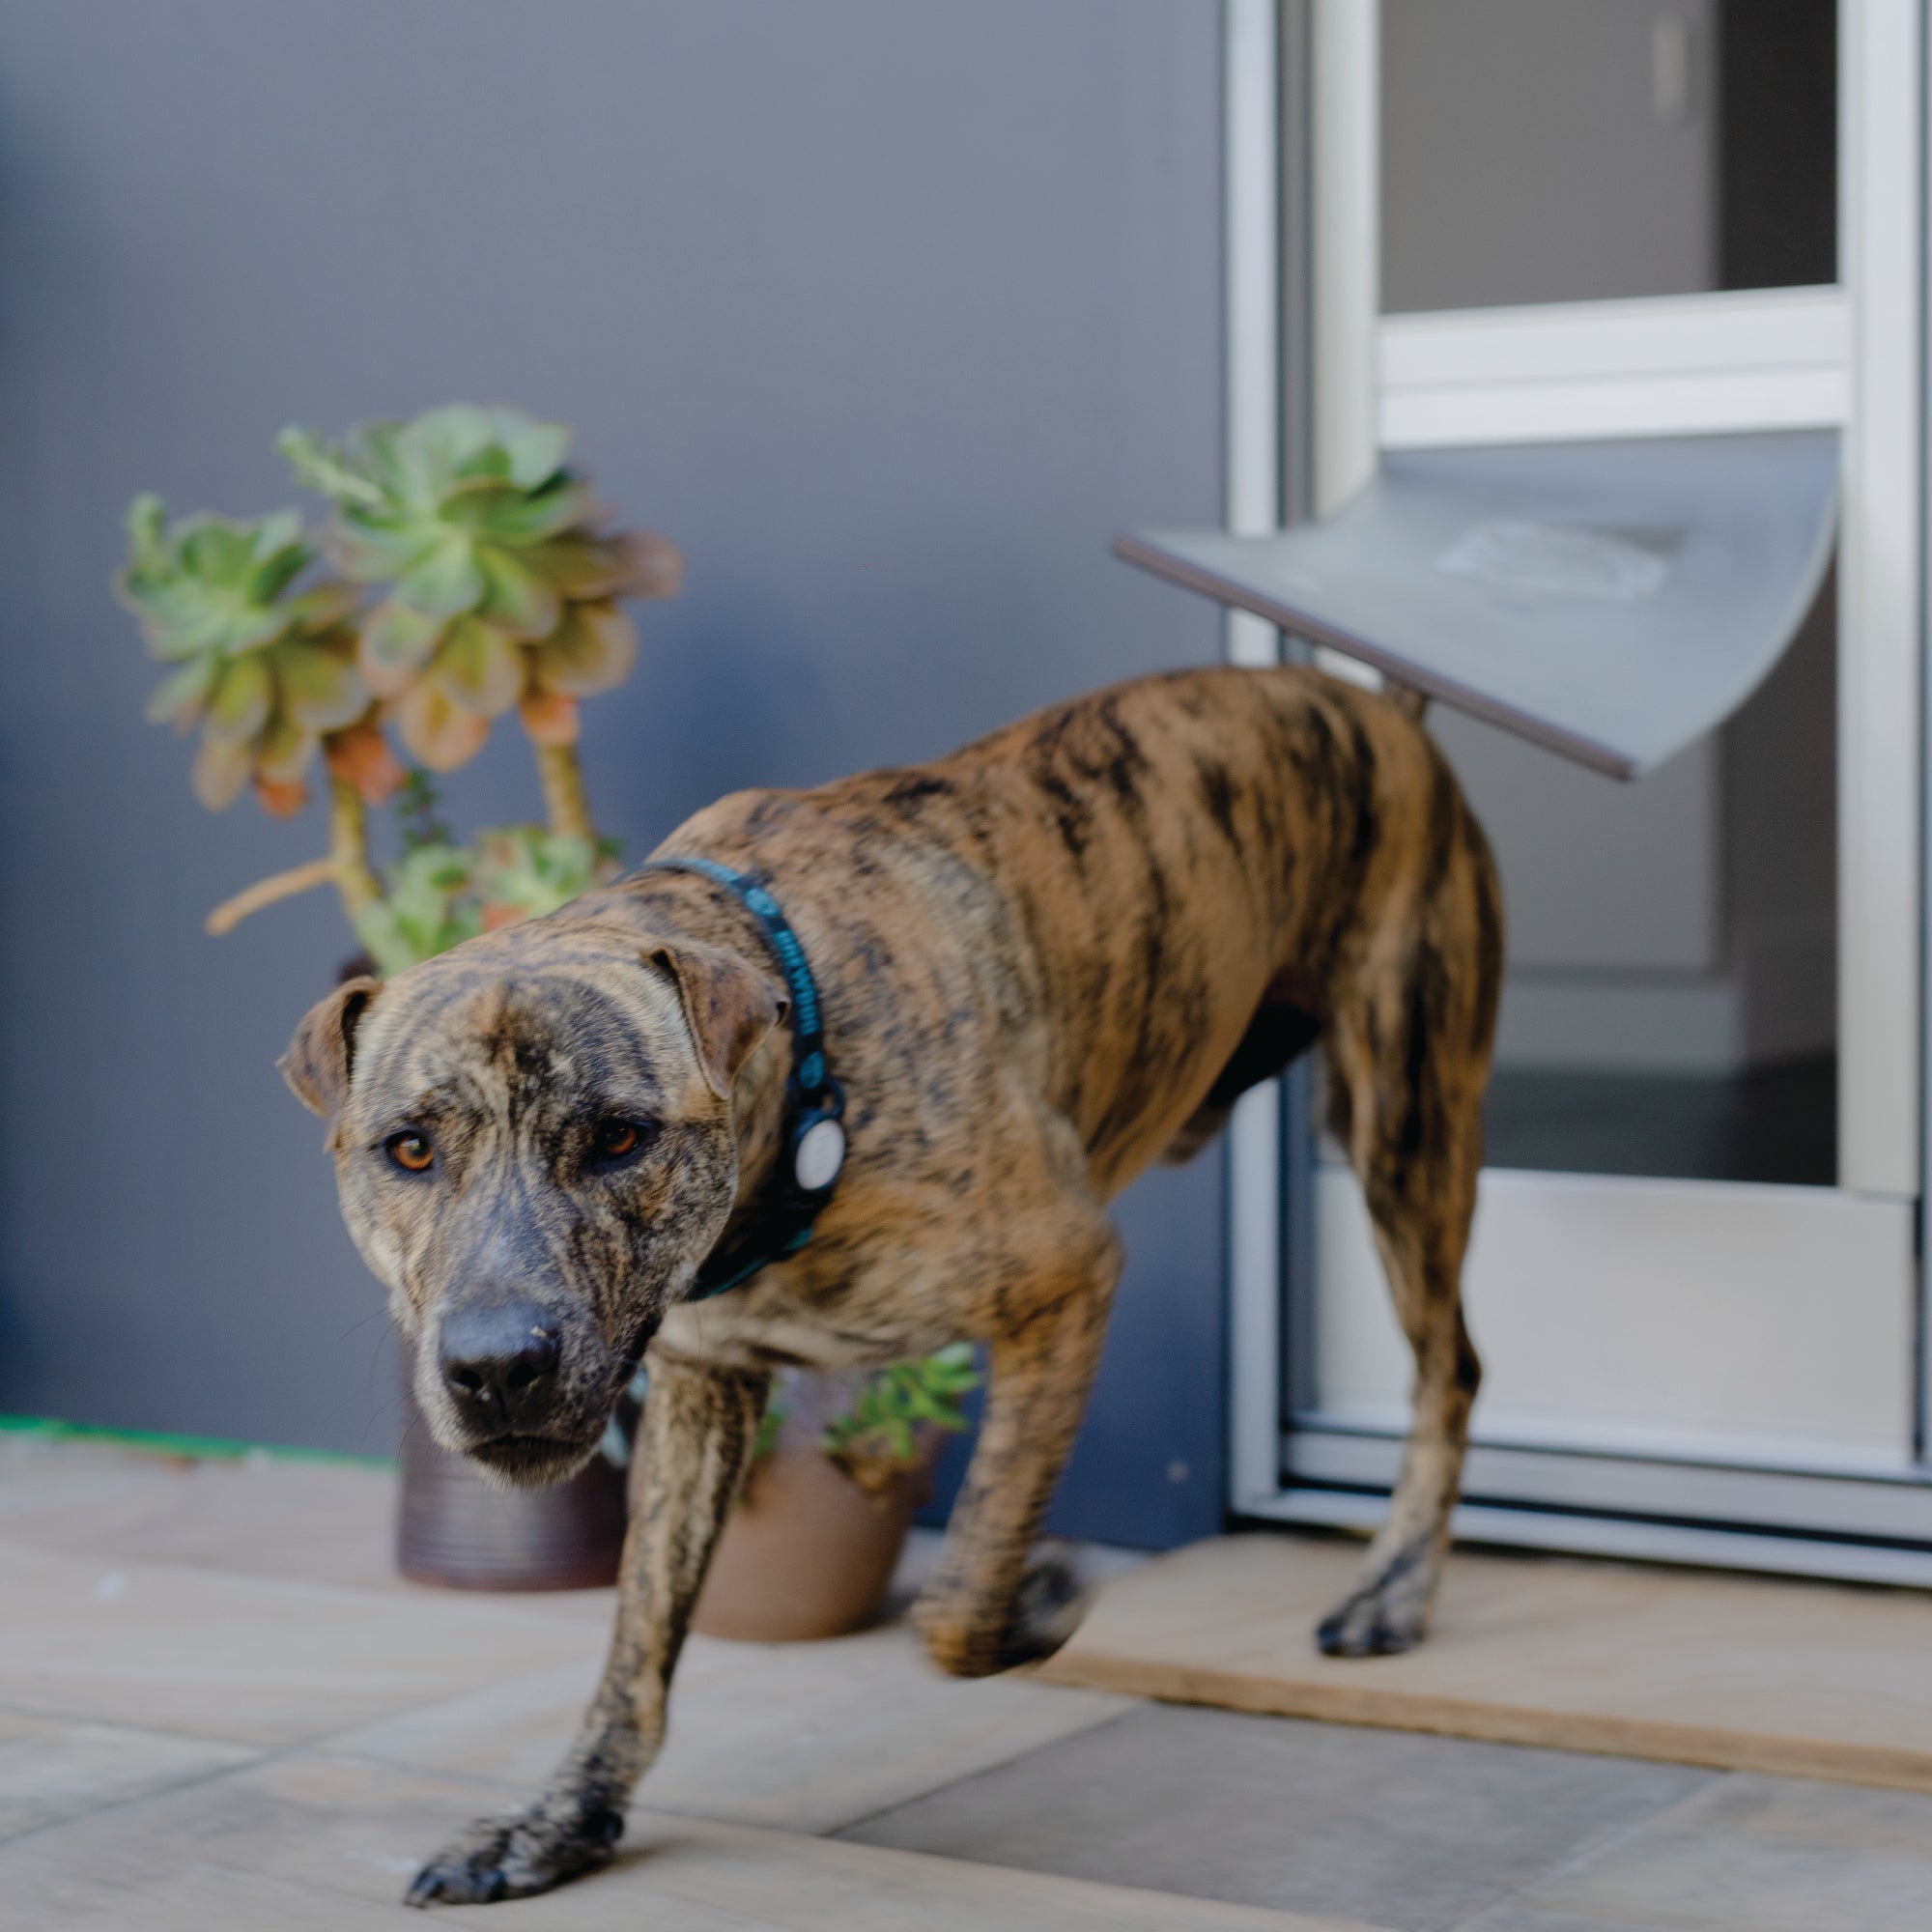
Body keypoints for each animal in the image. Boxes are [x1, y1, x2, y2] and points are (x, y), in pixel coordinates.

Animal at [282, 665, 1492, 1901]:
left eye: (620, 1136)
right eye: (410, 1148)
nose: (495, 1367)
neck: (803, 1092)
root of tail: (1365, 700)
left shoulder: (1064, 1277)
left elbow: (957, 1594)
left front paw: (1038, 1601)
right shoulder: (698, 1383)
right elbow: (638, 1633)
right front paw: (560, 1817)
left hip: (1404, 1118)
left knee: (1449, 1368)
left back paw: (1392, 1587)